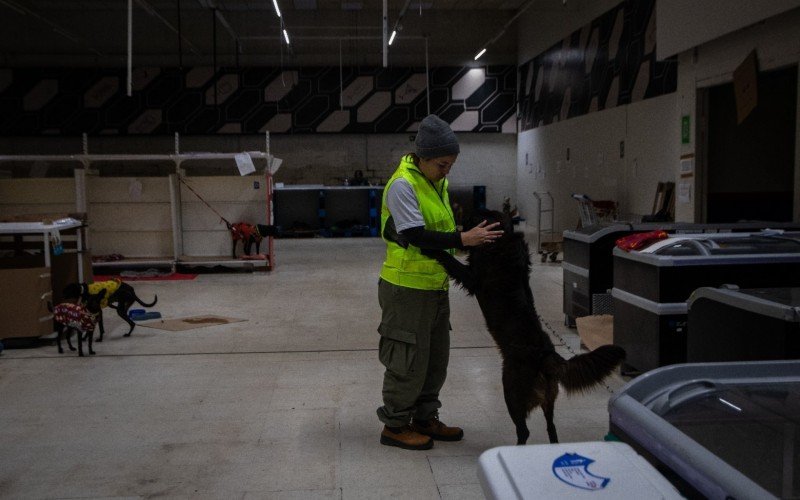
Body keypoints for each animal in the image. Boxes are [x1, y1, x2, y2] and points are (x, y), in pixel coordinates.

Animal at [422, 209, 628, 444]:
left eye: (470, 219)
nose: (458, 226)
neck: (501, 240)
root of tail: (548, 355)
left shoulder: (472, 278)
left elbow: (448, 259)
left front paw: (426, 247)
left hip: (512, 390)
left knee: (524, 430)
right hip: (548, 398)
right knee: (551, 427)